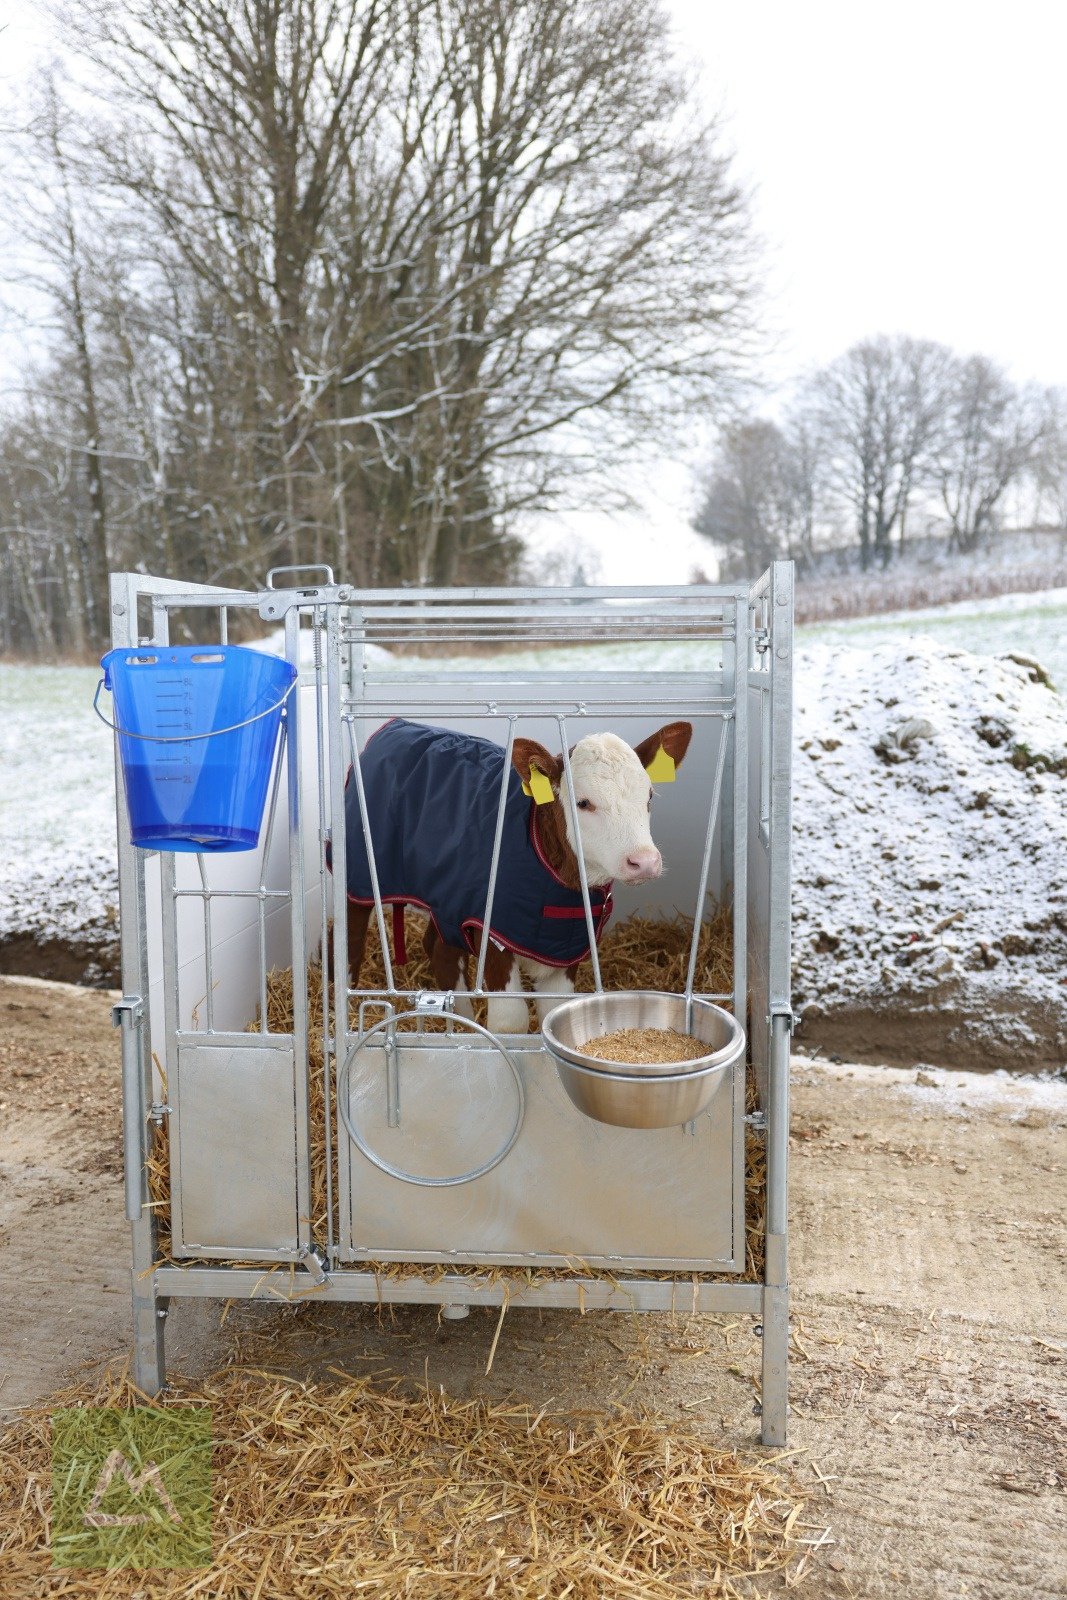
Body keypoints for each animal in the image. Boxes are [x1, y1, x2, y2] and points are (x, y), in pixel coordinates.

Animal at [342, 716, 694, 1036]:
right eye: (583, 803)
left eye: (649, 796)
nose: (644, 861)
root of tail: (396, 726)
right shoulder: (491, 929)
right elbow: (510, 1022)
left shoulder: (564, 946)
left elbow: (556, 1013)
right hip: (360, 869)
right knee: (352, 936)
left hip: (450, 895)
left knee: (440, 948)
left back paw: (461, 1026)